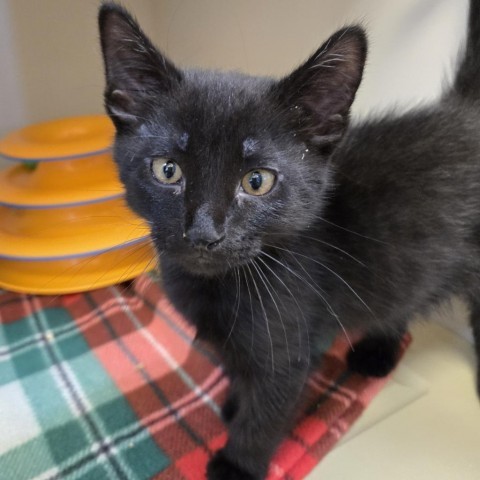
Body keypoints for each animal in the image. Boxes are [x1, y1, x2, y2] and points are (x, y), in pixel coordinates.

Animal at [99, 1, 480, 478]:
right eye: (167, 170)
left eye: (257, 181)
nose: (204, 232)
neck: (219, 287)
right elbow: (237, 371)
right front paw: (233, 403)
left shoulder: (288, 347)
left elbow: (268, 410)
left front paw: (238, 464)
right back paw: (378, 350)